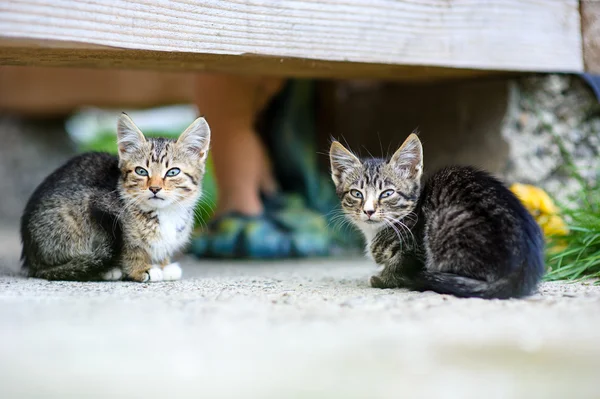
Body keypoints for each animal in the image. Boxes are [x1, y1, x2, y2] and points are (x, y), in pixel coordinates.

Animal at [20, 112, 211, 282]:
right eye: (141, 171)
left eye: (173, 172)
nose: (154, 188)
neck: (162, 212)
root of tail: (32, 261)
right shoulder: (99, 206)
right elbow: (129, 248)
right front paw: (141, 269)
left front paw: (164, 265)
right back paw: (106, 271)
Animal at [330, 134, 548, 300]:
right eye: (356, 193)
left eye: (387, 193)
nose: (368, 211)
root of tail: (522, 270)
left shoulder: (416, 248)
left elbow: (400, 263)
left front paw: (383, 278)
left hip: (441, 221)